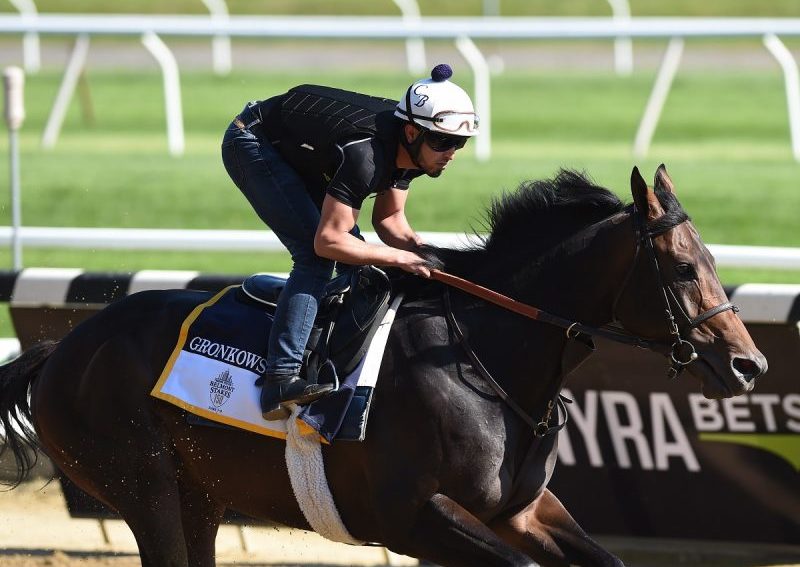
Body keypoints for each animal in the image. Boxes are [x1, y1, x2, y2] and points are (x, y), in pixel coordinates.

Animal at [0, 166, 768, 564]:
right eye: (679, 267)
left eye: (712, 259)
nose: (748, 363)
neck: (483, 362)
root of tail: (63, 349)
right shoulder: (413, 516)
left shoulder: (520, 509)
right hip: (142, 485)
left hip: (201, 496)